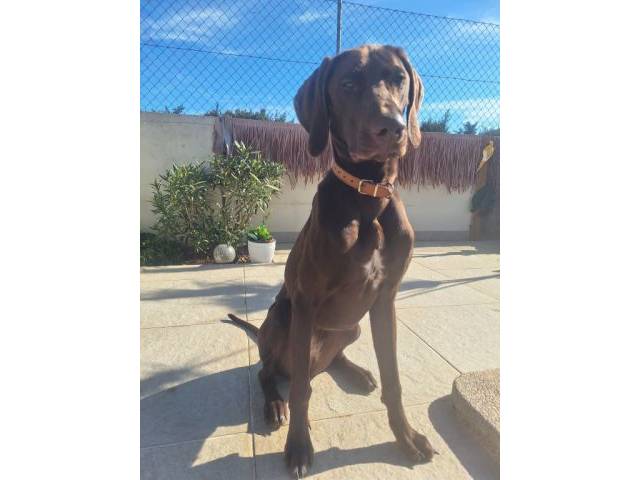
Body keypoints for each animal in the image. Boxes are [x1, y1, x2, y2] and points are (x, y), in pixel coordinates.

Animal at [228, 44, 435, 478]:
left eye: (399, 79)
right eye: (348, 84)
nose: (392, 127)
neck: (368, 194)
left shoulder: (385, 300)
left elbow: (394, 380)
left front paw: (406, 438)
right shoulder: (306, 302)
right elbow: (301, 391)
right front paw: (299, 447)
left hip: (351, 326)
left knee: (331, 358)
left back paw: (357, 373)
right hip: (284, 319)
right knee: (271, 372)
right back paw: (275, 404)